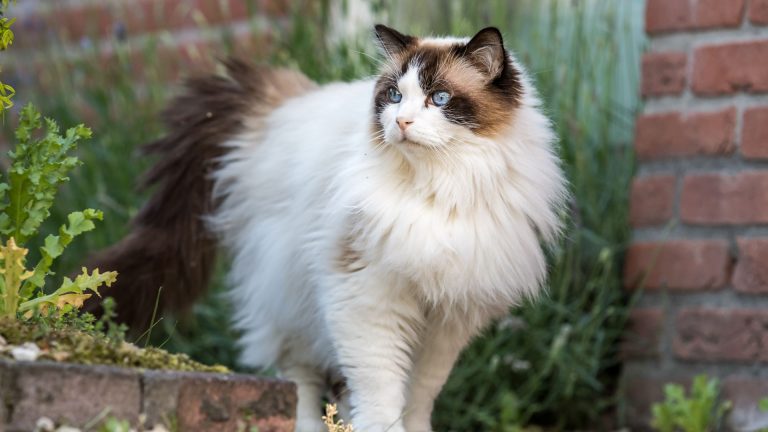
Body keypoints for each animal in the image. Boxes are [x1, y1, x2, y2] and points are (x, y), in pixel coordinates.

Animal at [87, 24, 568, 432]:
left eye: (441, 99)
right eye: (394, 96)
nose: (401, 122)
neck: (439, 187)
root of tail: (284, 103)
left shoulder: (447, 321)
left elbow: (418, 397)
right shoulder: (367, 299)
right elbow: (381, 393)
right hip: (293, 301)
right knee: (298, 381)